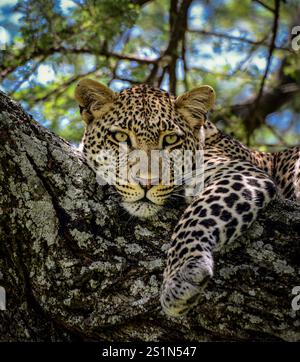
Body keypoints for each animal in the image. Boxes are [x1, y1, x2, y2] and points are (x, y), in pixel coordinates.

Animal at [75, 79, 300, 316]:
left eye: (171, 139)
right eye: (120, 137)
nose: (147, 182)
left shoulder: (239, 172)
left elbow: (198, 216)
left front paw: (181, 277)